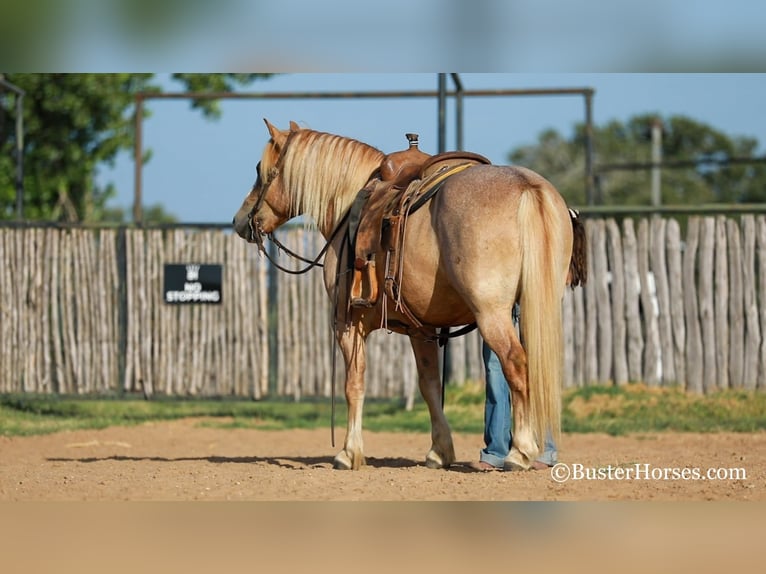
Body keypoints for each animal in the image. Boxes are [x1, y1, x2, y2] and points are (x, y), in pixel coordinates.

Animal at [231, 119, 584, 470]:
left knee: (517, 365)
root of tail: (528, 188)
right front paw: (439, 451)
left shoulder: (348, 324)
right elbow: (429, 386)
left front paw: (349, 453)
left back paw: (520, 452)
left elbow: (354, 384)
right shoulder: (421, 329)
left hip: (492, 314)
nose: (239, 220)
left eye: (261, 170)